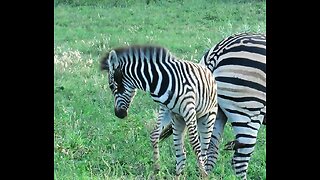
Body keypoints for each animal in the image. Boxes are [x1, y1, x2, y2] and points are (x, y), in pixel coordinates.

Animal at [100, 45, 219, 179]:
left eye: (111, 86)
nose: (119, 114)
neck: (156, 80)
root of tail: (207, 71)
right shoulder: (166, 109)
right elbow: (154, 134)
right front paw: (157, 168)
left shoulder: (188, 109)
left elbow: (195, 144)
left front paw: (204, 174)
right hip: (178, 120)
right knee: (181, 153)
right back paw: (178, 175)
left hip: (207, 117)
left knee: (203, 149)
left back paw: (202, 171)